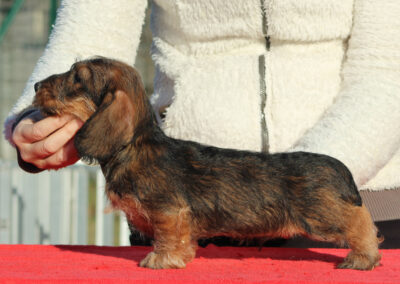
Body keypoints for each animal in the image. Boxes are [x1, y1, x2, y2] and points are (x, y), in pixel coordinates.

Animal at [31, 57, 382, 270]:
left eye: (77, 78)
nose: (35, 86)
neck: (135, 148)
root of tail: (337, 166)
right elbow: (183, 238)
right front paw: (179, 257)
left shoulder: (168, 211)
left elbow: (168, 236)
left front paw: (161, 259)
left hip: (322, 216)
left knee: (360, 221)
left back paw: (363, 257)